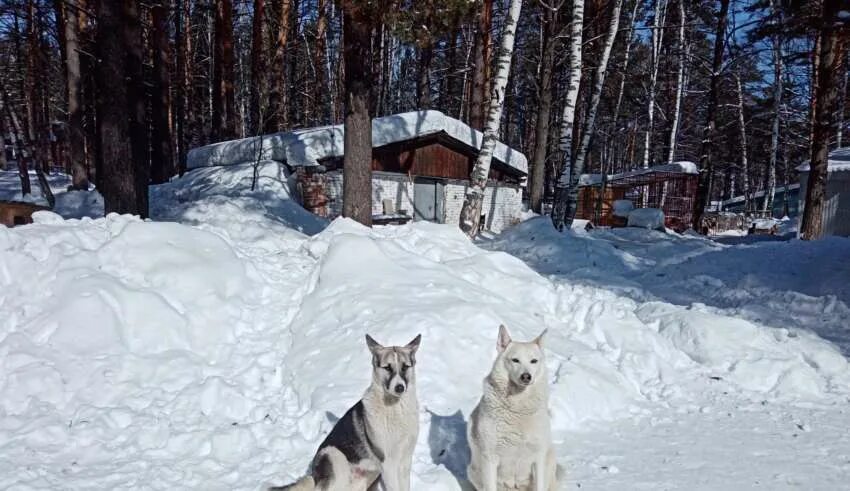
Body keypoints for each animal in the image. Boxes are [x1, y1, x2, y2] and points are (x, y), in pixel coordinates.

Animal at [270, 334, 420, 491]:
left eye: (405, 367)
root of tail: (314, 477)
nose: (399, 387)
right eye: (387, 368)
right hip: (335, 457)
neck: (396, 408)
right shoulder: (388, 464)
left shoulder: (405, 461)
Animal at [464, 324, 556, 490]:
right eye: (515, 360)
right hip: (473, 470)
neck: (518, 408)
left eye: (534, 361)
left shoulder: (538, 458)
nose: (526, 376)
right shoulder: (490, 458)